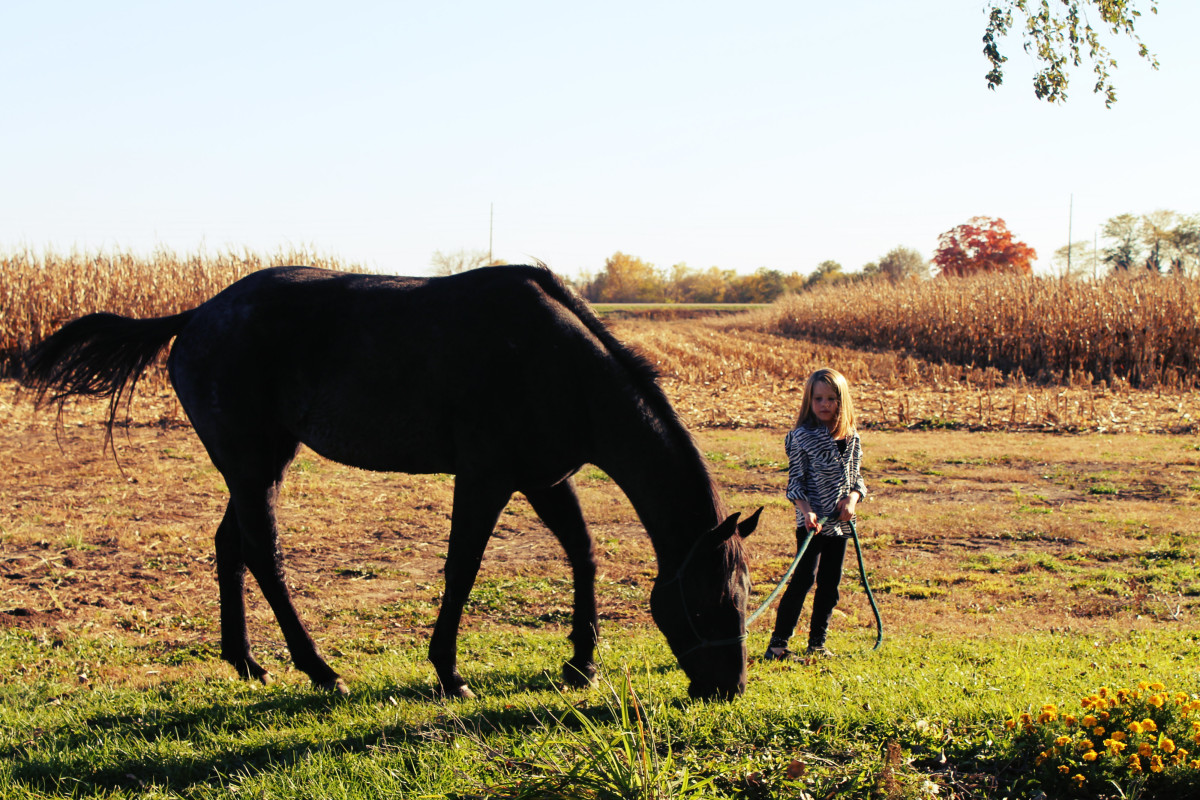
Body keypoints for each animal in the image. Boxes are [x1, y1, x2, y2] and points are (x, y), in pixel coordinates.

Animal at [21, 266, 758, 695]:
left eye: (743, 597)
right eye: (704, 605)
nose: (727, 688)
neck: (559, 362)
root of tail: (197, 314)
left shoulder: (544, 477)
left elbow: (583, 553)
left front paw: (581, 663)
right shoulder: (486, 476)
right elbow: (463, 568)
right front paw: (449, 672)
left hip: (260, 465)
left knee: (230, 545)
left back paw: (248, 662)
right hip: (254, 466)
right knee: (264, 554)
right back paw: (319, 671)